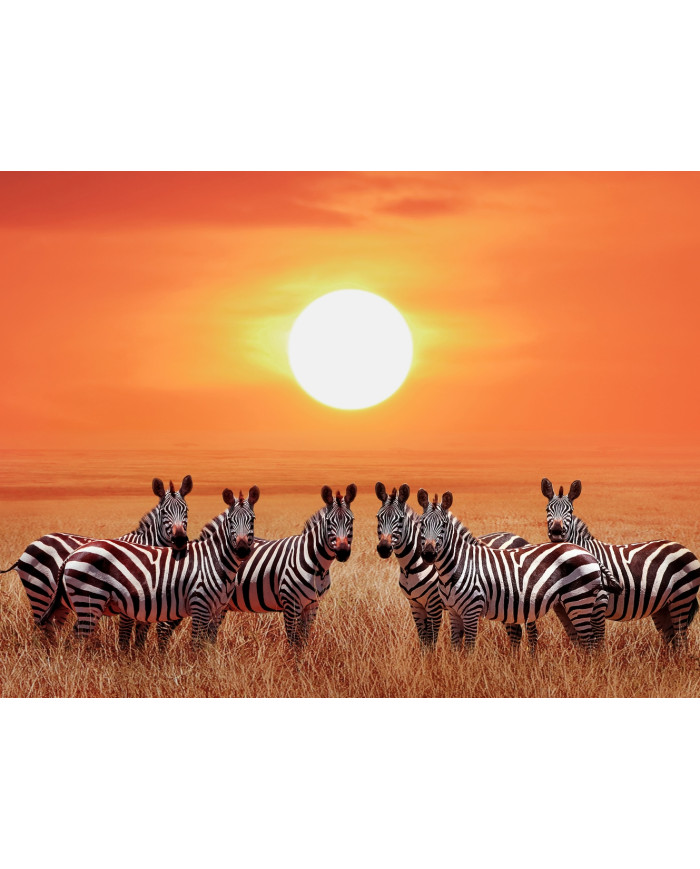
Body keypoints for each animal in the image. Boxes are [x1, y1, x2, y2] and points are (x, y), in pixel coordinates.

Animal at [0, 476, 193, 648]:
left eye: (187, 511)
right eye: (163, 512)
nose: (180, 540)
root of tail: (33, 543)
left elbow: (142, 632)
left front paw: (140, 656)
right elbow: (127, 632)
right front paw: (128, 658)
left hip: (58, 601)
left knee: (51, 628)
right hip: (39, 592)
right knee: (41, 627)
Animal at [39, 487, 259, 649]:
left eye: (252, 520)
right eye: (230, 521)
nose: (242, 550)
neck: (214, 560)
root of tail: (72, 555)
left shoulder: (216, 609)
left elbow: (209, 644)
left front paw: (208, 667)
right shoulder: (200, 605)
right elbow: (196, 644)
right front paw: (197, 671)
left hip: (76, 601)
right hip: (89, 598)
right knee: (78, 637)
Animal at [375, 482, 537, 649]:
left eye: (400, 520)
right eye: (378, 517)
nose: (383, 549)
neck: (410, 567)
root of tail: (519, 538)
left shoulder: (434, 604)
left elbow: (431, 638)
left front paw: (431, 657)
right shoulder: (415, 604)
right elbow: (423, 639)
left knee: (530, 629)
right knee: (515, 631)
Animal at [416, 488, 609, 651]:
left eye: (443, 525)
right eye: (421, 524)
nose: (428, 554)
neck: (457, 565)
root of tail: (589, 553)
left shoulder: (472, 609)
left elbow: (469, 649)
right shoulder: (454, 612)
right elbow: (455, 649)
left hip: (579, 599)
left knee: (589, 641)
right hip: (566, 604)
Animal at [542, 478, 700, 647]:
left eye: (570, 511)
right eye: (547, 509)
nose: (556, 532)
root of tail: (683, 547)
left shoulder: (599, 603)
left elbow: (597, 642)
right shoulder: (563, 608)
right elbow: (577, 642)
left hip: (681, 598)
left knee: (681, 640)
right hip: (663, 606)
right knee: (672, 640)